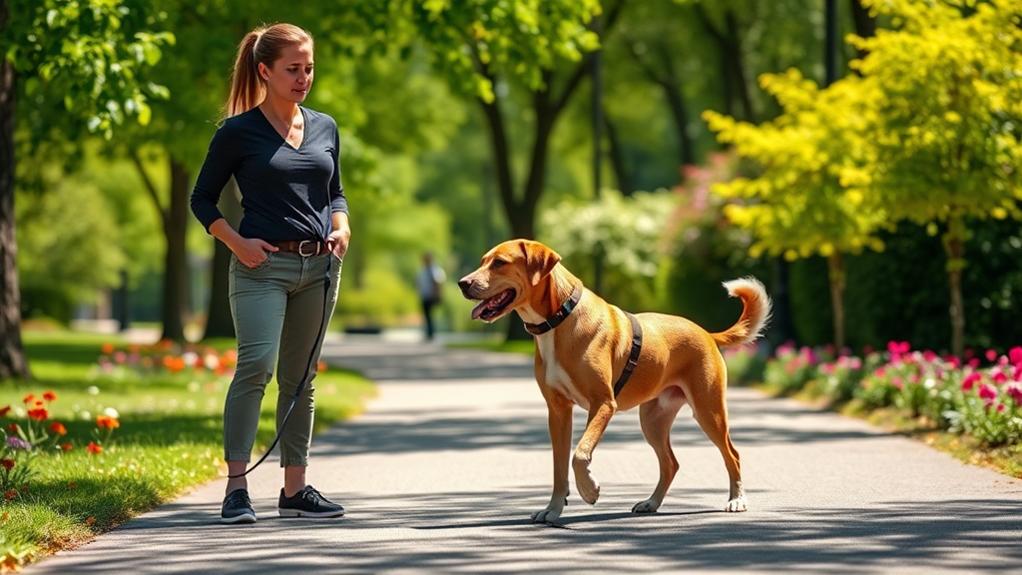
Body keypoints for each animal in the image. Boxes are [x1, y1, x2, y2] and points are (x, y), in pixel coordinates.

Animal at [459, 241, 768, 522]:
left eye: (499, 263)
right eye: (483, 260)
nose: (463, 283)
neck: (559, 319)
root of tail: (706, 333)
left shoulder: (603, 404)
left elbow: (579, 455)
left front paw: (589, 491)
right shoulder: (558, 411)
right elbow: (559, 467)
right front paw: (553, 509)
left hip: (708, 411)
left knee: (732, 454)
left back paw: (736, 499)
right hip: (653, 420)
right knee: (670, 463)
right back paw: (651, 503)